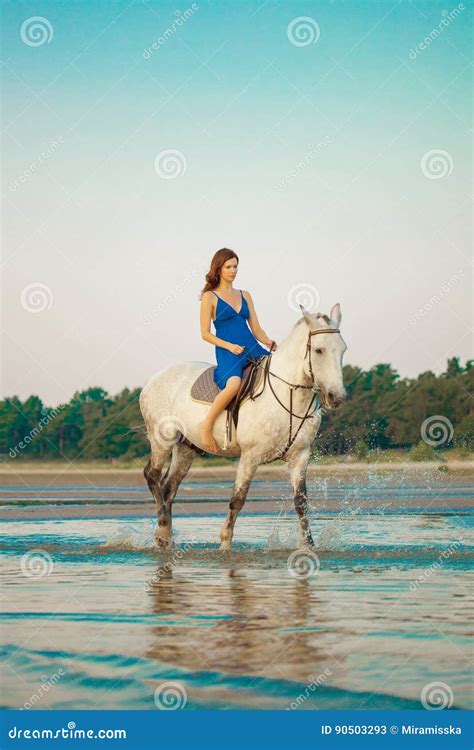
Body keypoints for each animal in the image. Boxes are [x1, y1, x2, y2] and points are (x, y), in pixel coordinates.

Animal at [139, 302, 346, 552]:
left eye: (343, 350)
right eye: (319, 351)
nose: (337, 397)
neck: (288, 394)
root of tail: (152, 381)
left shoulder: (300, 455)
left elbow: (301, 501)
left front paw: (308, 545)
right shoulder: (250, 456)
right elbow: (237, 499)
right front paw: (225, 544)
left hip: (185, 447)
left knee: (169, 487)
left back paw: (166, 537)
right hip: (162, 439)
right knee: (152, 476)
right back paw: (162, 529)